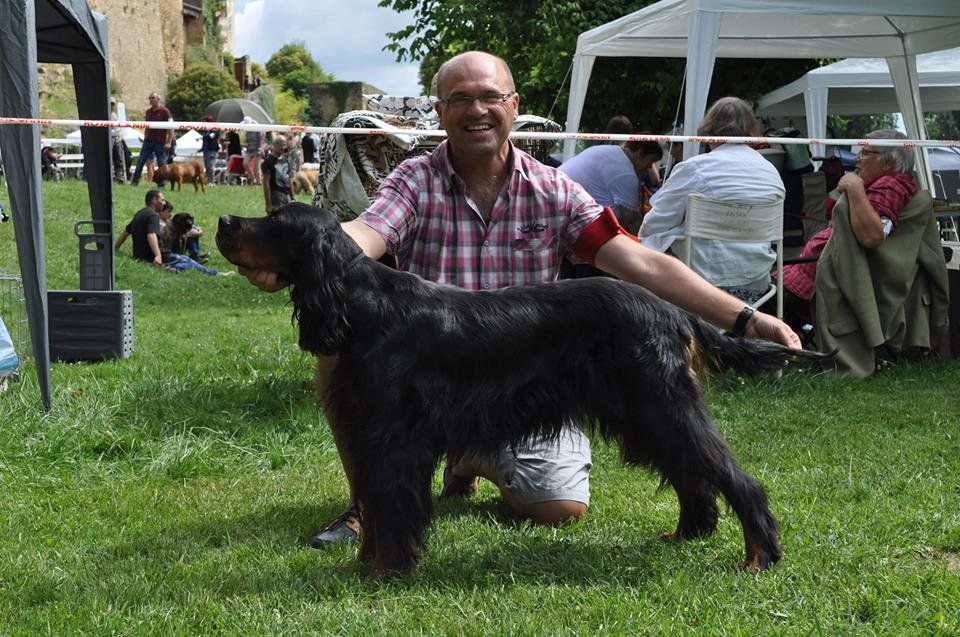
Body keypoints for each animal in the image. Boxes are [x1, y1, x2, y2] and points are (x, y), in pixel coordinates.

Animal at [216, 202, 824, 576]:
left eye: (273, 220)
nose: (222, 219)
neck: (363, 306)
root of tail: (670, 309)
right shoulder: (370, 434)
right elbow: (375, 509)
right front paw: (365, 563)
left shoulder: (392, 440)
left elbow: (392, 511)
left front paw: (386, 572)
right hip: (646, 413)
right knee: (692, 474)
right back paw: (689, 534)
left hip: (661, 404)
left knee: (734, 477)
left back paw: (759, 556)